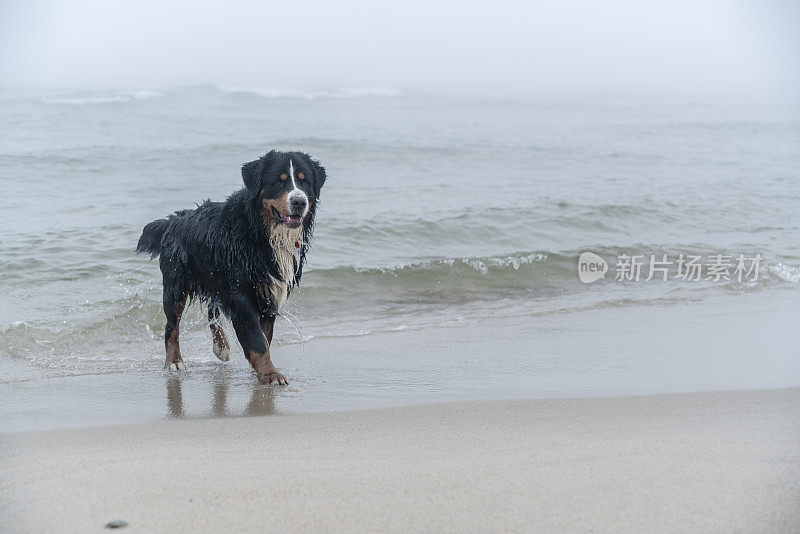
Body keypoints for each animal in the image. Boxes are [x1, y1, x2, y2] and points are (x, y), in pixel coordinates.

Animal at [137, 150, 324, 386]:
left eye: (305, 181)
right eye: (278, 182)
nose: (299, 201)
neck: (260, 233)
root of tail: (174, 219)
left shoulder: (268, 293)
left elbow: (264, 337)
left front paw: (259, 369)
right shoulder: (242, 294)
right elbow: (257, 340)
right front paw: (270, 374)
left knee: (212, 310)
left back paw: (221, 346)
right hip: (175, 286)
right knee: (172, 327)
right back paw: (174, 361)